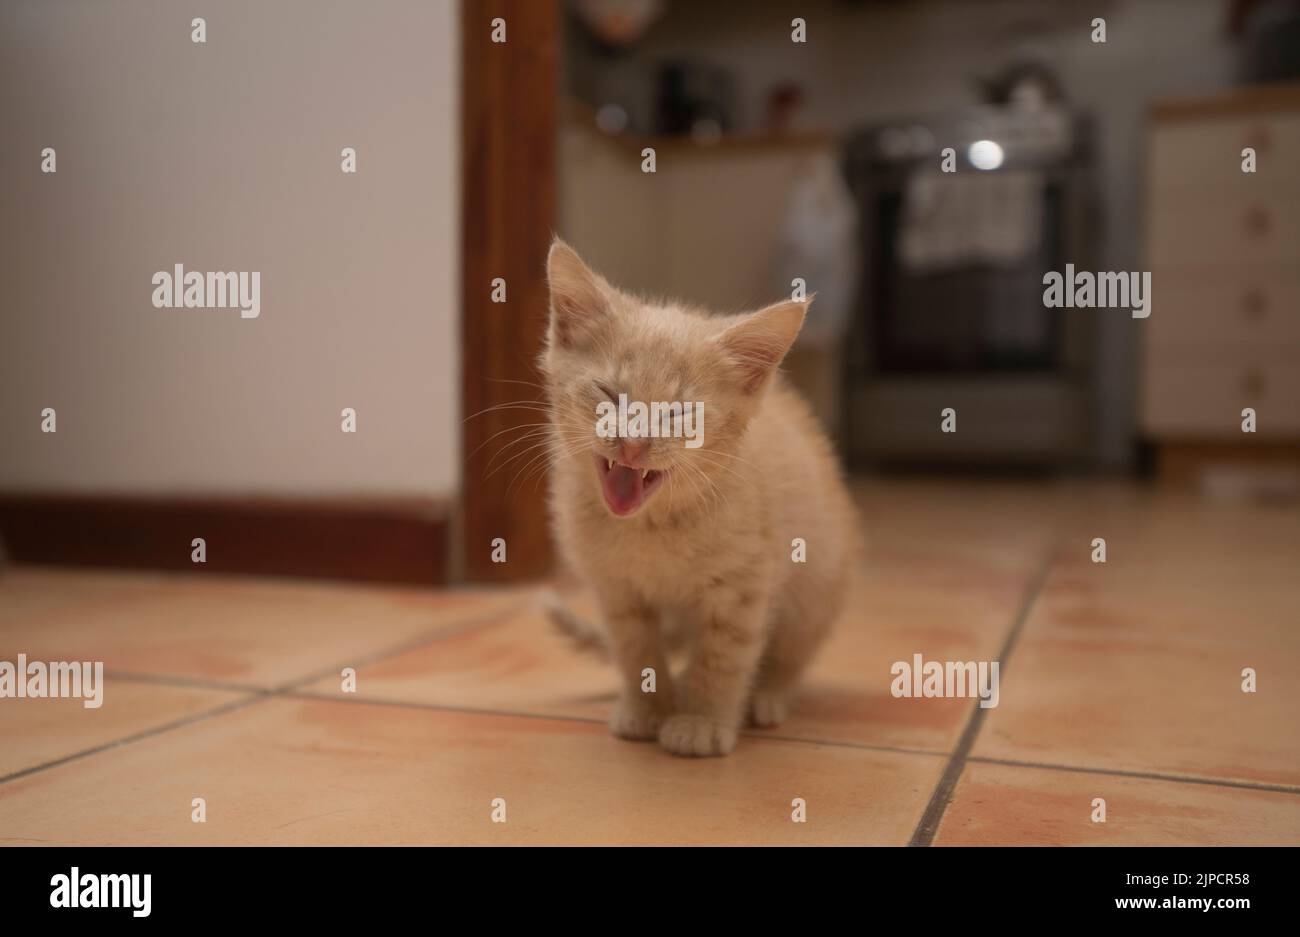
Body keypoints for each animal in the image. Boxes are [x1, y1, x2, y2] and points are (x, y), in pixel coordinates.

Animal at [533, 239, 857, 753]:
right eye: (610, 394)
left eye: (678, 412)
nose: (633, 443)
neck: (650, 528)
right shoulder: (616, 589)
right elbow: (636, 650)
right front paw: (648, 709)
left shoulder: (746, 584)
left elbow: (724, 657)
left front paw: (702, 721)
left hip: (819, 580)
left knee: (792, 653)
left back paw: (768, 695)